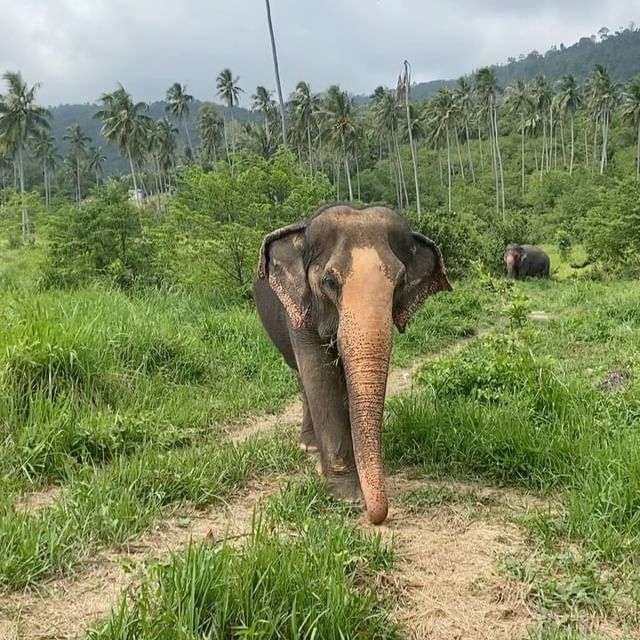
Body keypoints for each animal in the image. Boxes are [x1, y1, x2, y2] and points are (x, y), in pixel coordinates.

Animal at [252, 202, 452, 524]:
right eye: (330, 282)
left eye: (400, 283)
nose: (375, 516)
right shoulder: (300, 309)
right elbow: (319, 376)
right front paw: (347, 497)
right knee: (301, 378)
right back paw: (308, 446)